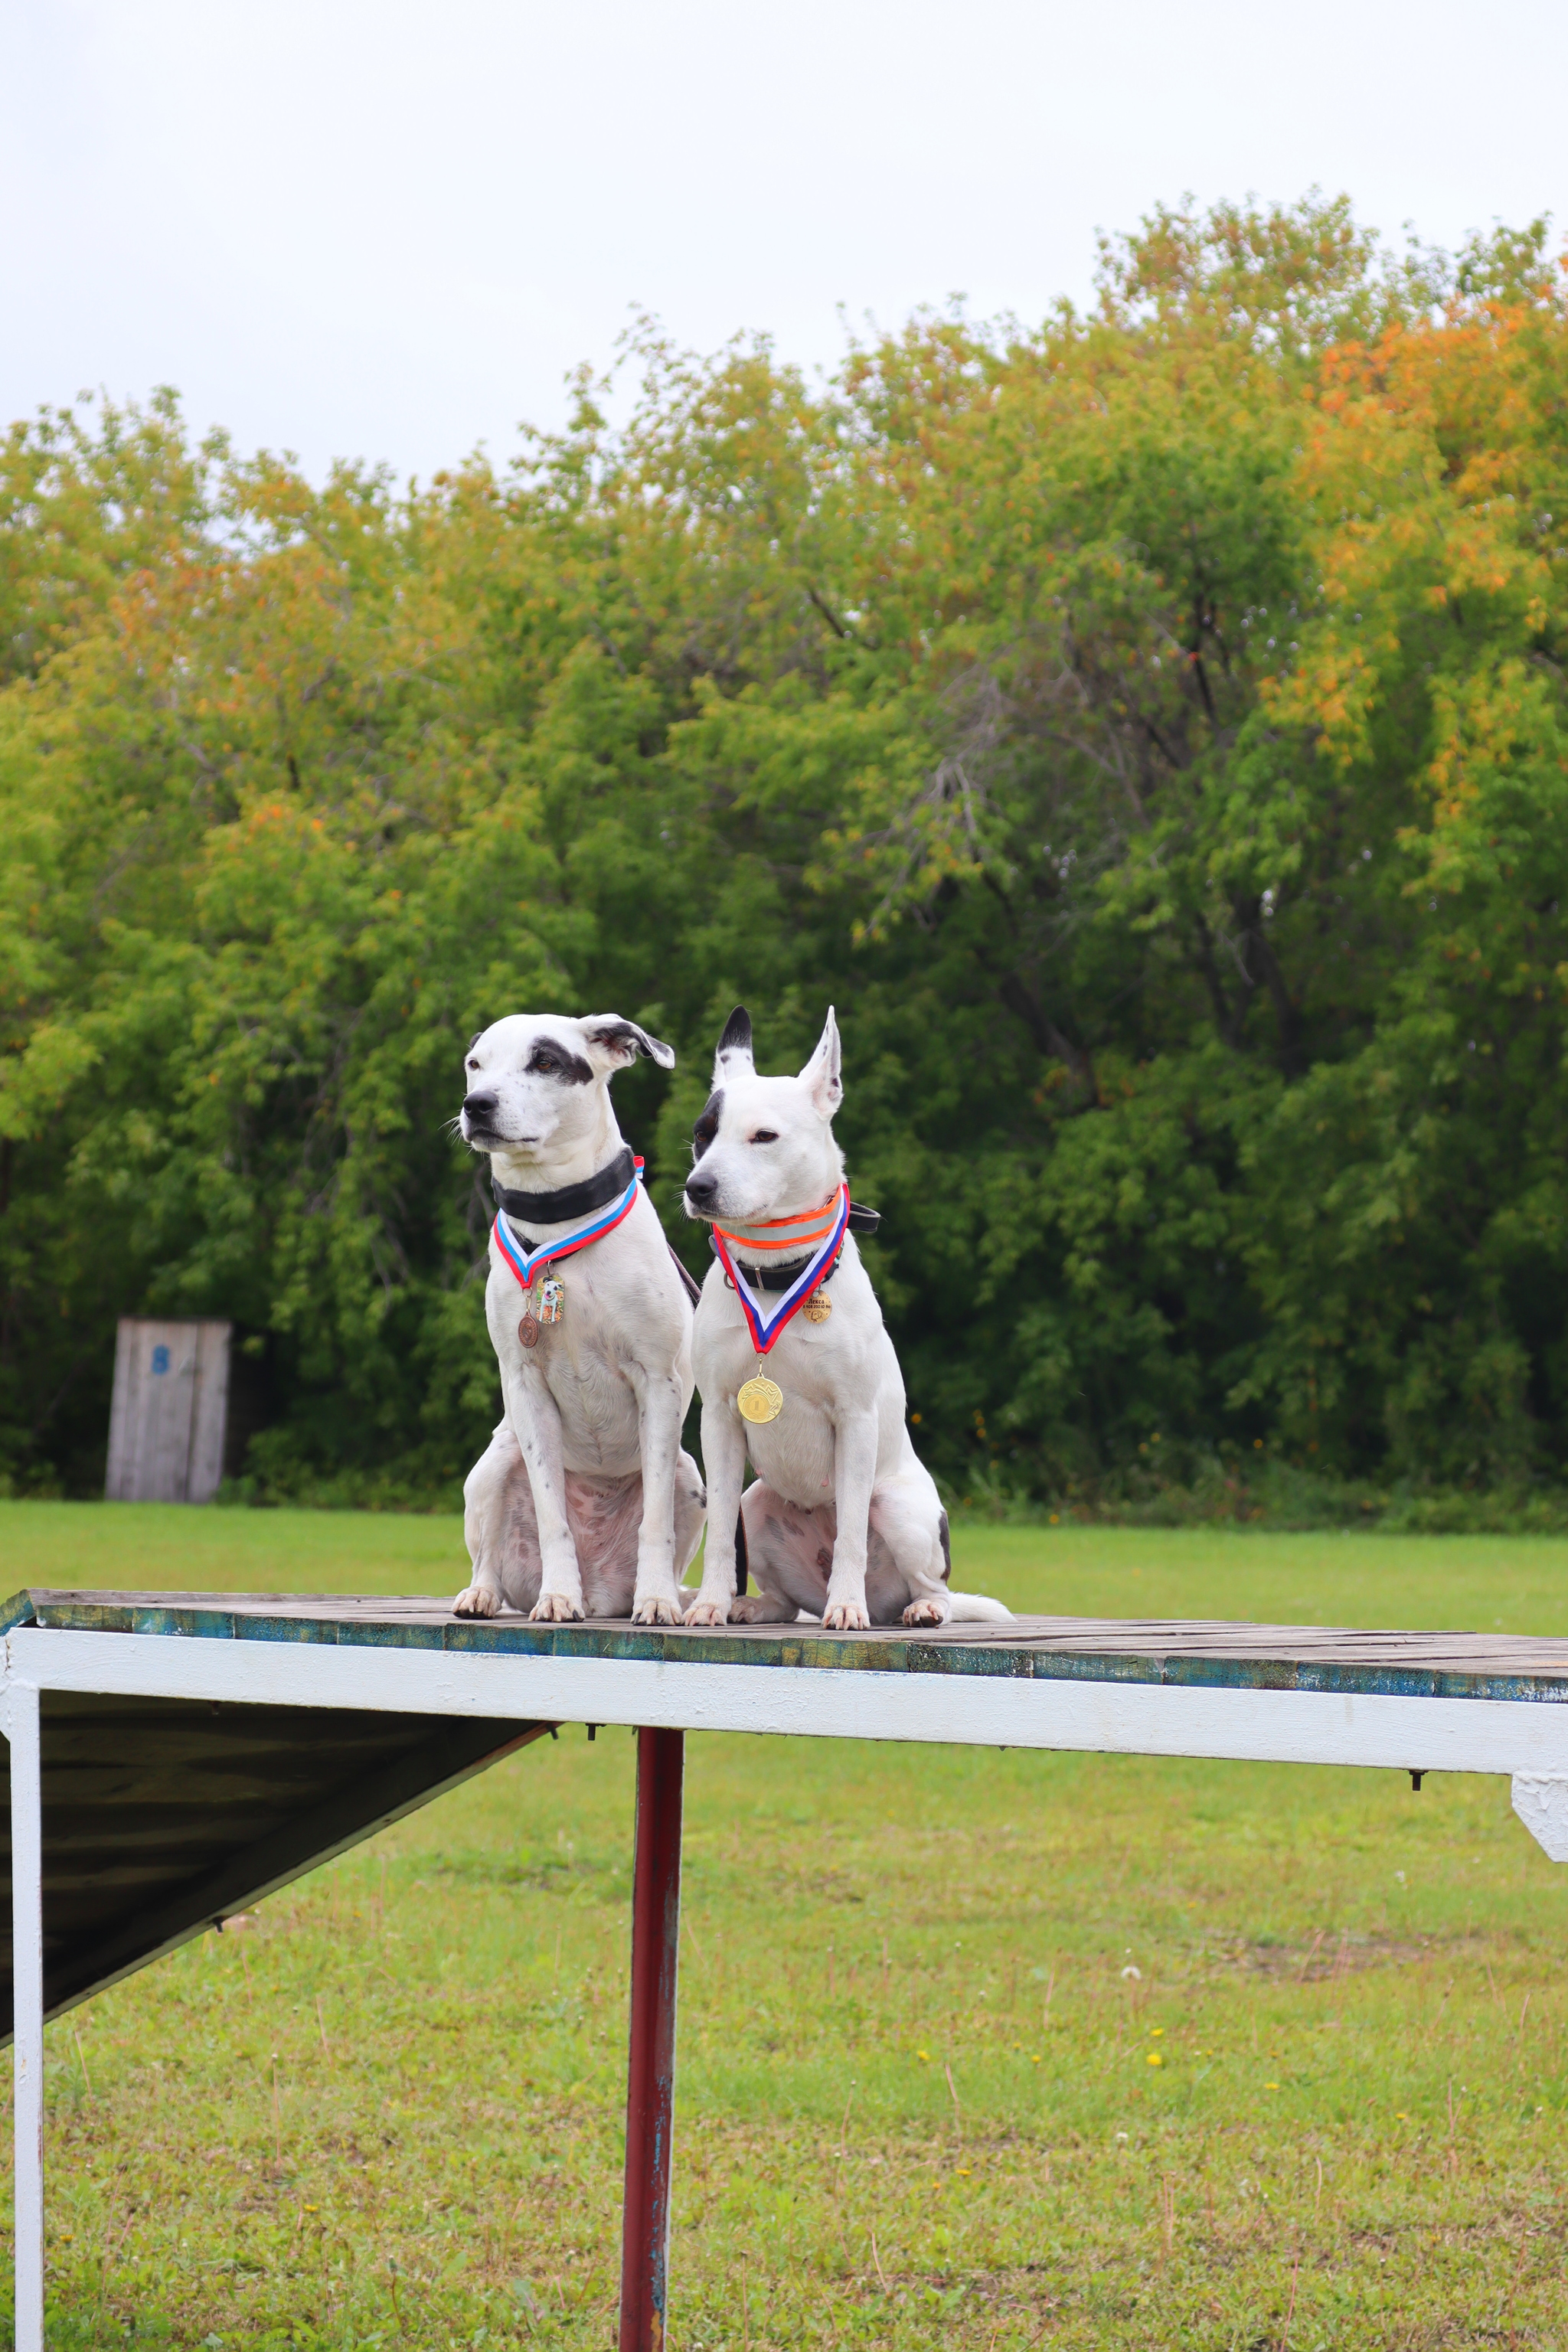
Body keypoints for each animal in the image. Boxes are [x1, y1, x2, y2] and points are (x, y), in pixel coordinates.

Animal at [451, 1011, 700, 1637]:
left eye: (544, 1062)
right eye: (475, 1063)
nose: (477, 1104)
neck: (556, 1222)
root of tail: (604, 1585)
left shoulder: (658, 1382)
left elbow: (655, 1521)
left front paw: (657, 1601)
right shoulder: (525, 1387)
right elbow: (551, 1513)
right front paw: (559, 1596)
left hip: (691, 1477)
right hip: (492, 1466)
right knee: (488, 1559)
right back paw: (482, 1594)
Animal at [686, 1001, 1020, 1627]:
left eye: (764, 1136)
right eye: (702, 1134)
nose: (699, 1187)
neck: (774, 1276)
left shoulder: (856, 1420)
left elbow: (851, 1536)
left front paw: (846, 1607)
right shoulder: (717, 1418)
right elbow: (718, 1531)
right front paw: (712, 1602)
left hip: (898, 1508)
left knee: (926, 1583)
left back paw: (915, 1608)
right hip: (757, 1502)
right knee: (782, 1598)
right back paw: (753, 1605)